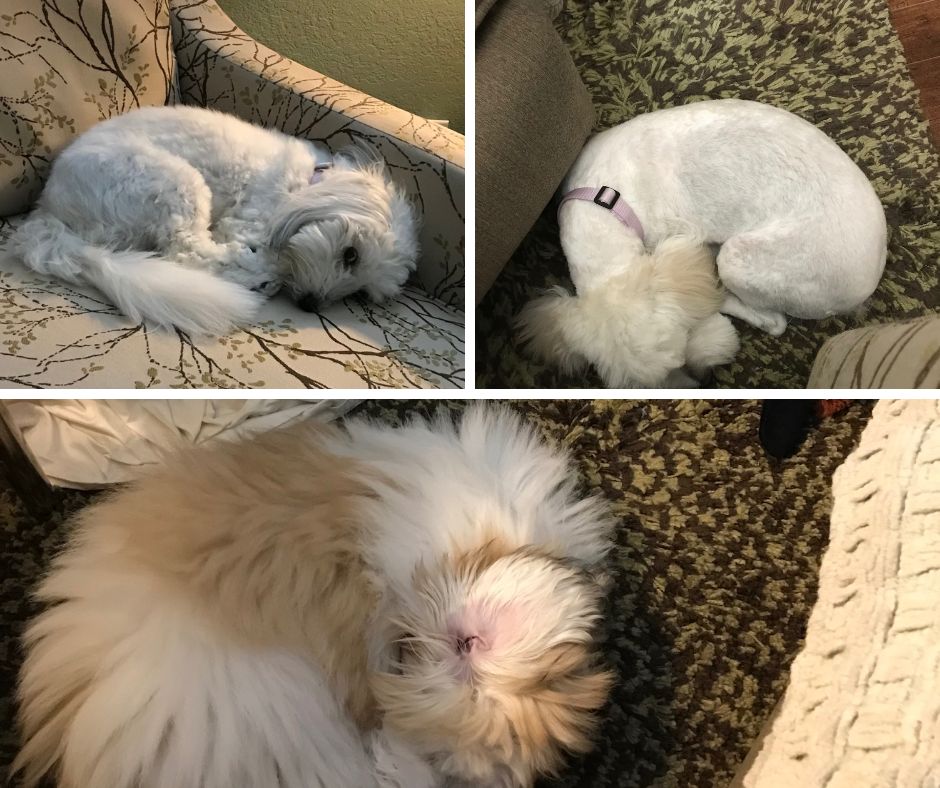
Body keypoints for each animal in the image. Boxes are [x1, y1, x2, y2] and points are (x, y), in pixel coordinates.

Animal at [8, 104, 418, 332]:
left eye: (362, 293)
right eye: (351, 254)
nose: (310, 305)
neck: (308, 184)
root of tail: (49, 213)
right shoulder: (252, 219)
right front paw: (263, 267)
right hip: (172, 180)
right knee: (187, 252)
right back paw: (256, 278)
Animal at [516, 98, 884, 388]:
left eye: (678, 359)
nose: (700, 383)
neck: (604, 201)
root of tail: (867, 285)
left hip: (746, 260)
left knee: (773, 320)